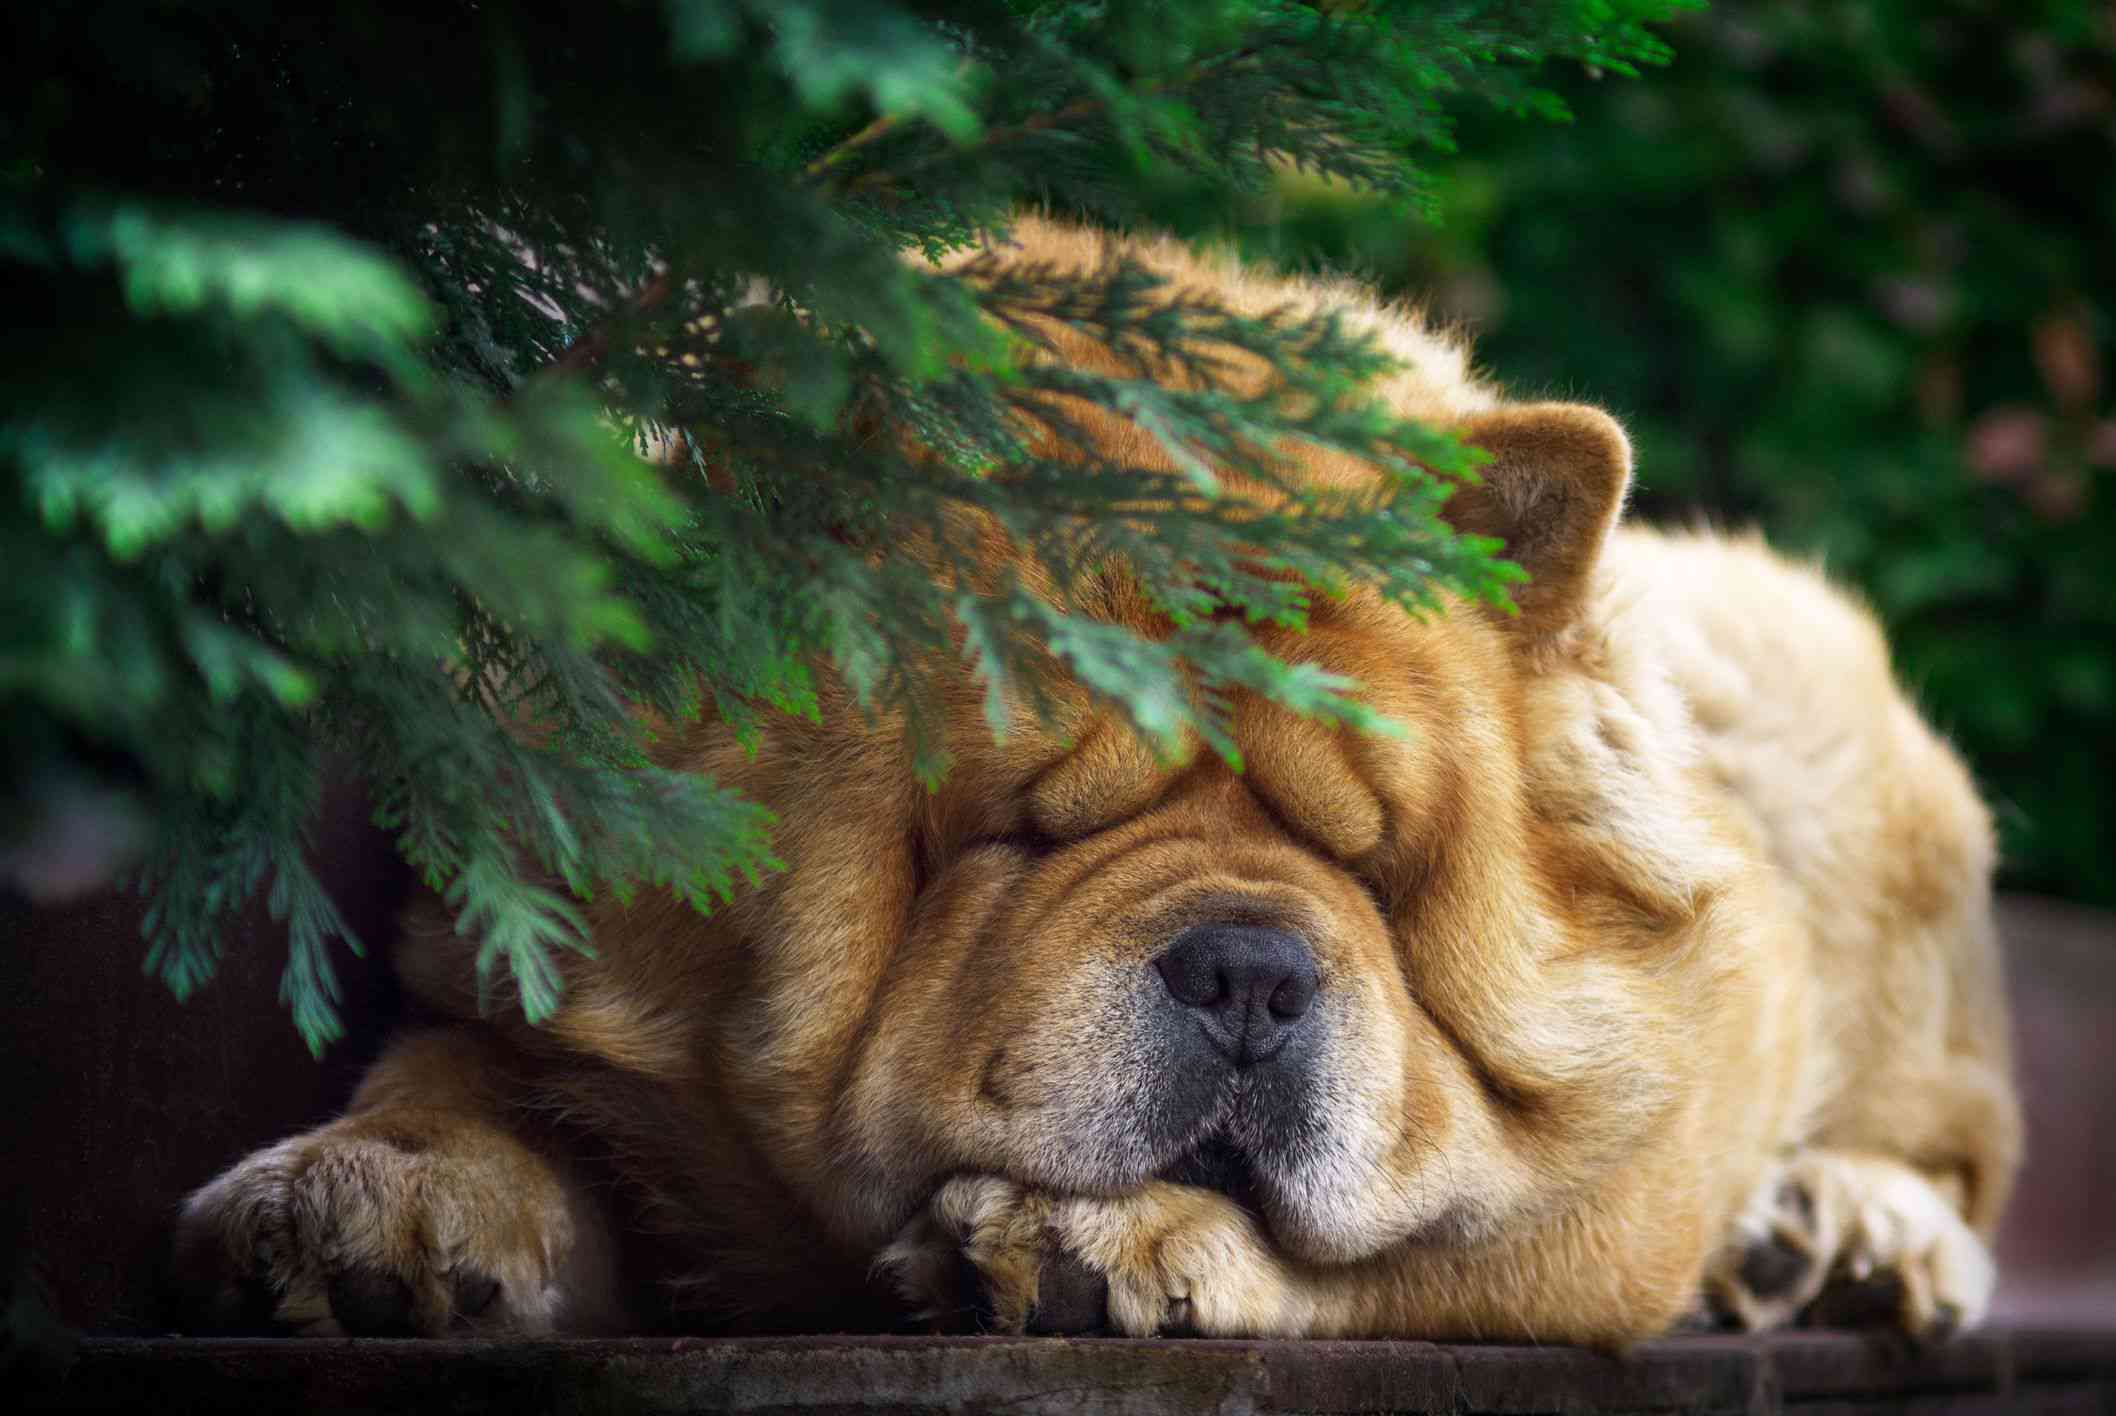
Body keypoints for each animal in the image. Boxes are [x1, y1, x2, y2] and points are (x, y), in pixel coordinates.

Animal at [165, 215, 2014, 1346]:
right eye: (1020, 828)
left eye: (1378, 873)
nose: (1252, 973)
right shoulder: (539, 989)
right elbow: (459, 1081)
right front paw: (361, 1202)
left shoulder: (1632, 1152)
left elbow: (1435, 1242)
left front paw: (1108, 1245)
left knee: (1954, 1145)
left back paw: (1841, 1236)